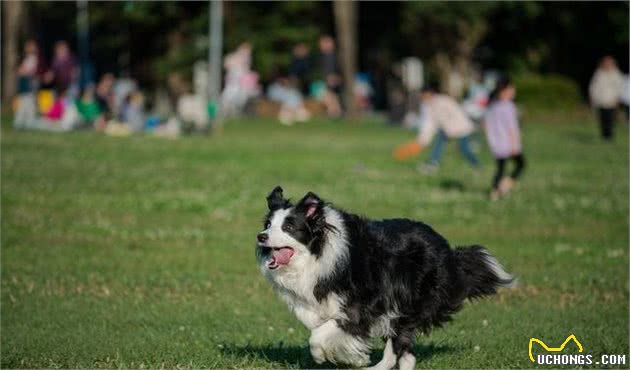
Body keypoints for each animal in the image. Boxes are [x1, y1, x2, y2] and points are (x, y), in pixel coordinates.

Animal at [256, 188, 512, 370]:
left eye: (289, 227)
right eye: (268, 224)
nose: (261, 236)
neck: (316, 253)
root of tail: (447, 249)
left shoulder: (363, 305)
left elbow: (320, 335)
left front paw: (345, 358)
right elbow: (320, 330)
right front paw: (348, 356)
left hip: (410, 298)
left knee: (402, 346)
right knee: (404, 352)